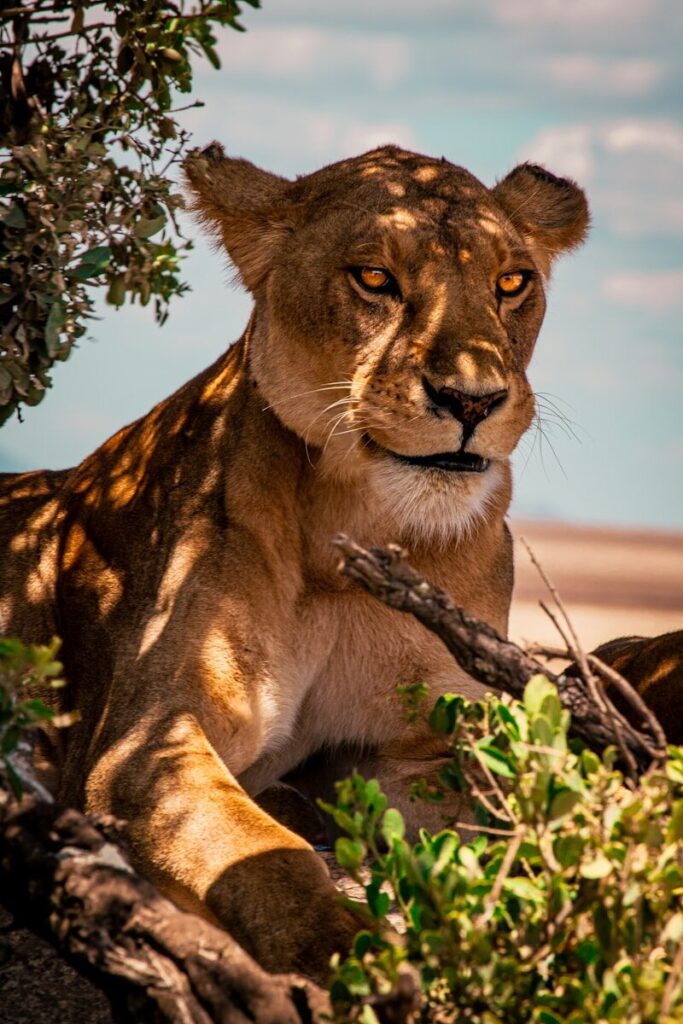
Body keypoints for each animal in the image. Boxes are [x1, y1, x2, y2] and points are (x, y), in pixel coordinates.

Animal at [0, 143, 590, 977]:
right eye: (373, 278)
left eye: (512, 283)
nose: (471, 402)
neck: (348, 530)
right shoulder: (144, 740)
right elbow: (264, 854)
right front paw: (352, 956)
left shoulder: (421, 745)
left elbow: (516, 815)